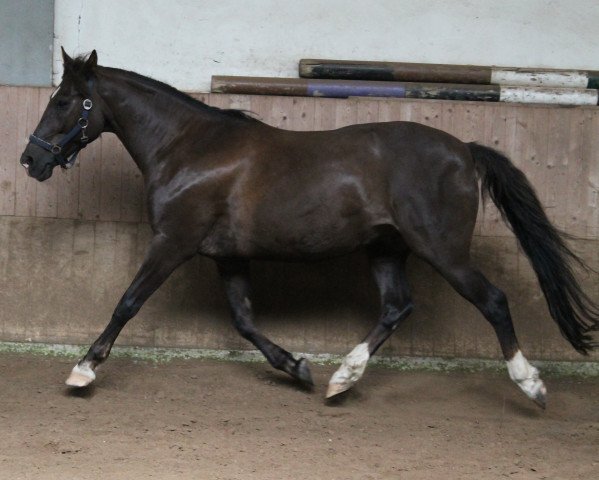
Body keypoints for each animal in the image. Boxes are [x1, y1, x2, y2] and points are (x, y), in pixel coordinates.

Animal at [18, 50, 599, 406]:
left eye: (65, 101)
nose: (30, 160)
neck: (189, 149)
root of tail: (464, 150)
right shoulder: (228, 256)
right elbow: (244, 321)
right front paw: (296, 367)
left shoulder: (173, 244)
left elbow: (127, 303)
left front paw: (84, 369)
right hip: (386, 250)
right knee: (396, 307)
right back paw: (342, 379)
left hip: (444, 252)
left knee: (494, 301)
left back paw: (530, 385)